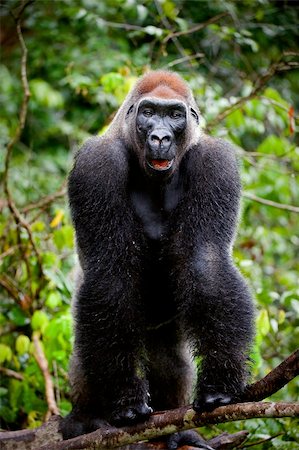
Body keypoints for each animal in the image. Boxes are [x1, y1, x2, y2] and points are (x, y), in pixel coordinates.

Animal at [61, 70, 255, 446]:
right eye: (149, 112)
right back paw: (85, 418)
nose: (161, 137)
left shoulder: (215, 162)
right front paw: (125, 397)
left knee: (169, 358)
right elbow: (110, 273)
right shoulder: (96, 165)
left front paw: (221, 381)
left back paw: (176, 432)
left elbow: (205, 262)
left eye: (175, 115)